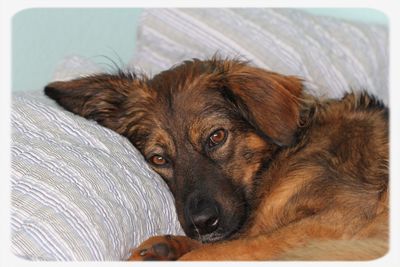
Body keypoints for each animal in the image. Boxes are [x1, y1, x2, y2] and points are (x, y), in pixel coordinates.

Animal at [43, 57, 388, 260]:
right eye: (158, 158)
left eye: (217, 137)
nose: (202, 223)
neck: (280, 160)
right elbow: (224, 243)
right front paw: (166, 247)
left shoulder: (338, 219)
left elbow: (222, 250)